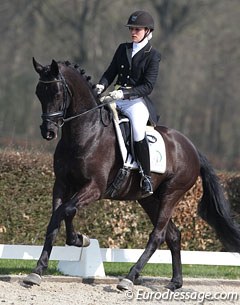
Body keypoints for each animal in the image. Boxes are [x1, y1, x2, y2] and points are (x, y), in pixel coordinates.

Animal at [23, 58, 240, 290]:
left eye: (56, 93)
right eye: (39, 93)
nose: (48, 132)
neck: (86, 132)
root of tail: (191, 147)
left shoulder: (94, 188)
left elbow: (66, 210)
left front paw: (79, 239)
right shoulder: (62, 184)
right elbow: (56, 219)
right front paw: (38, 270)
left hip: (172, 194)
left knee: (158, 235)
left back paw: (129, 277)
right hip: (149, 199)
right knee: (173, 235)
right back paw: (175, 282)